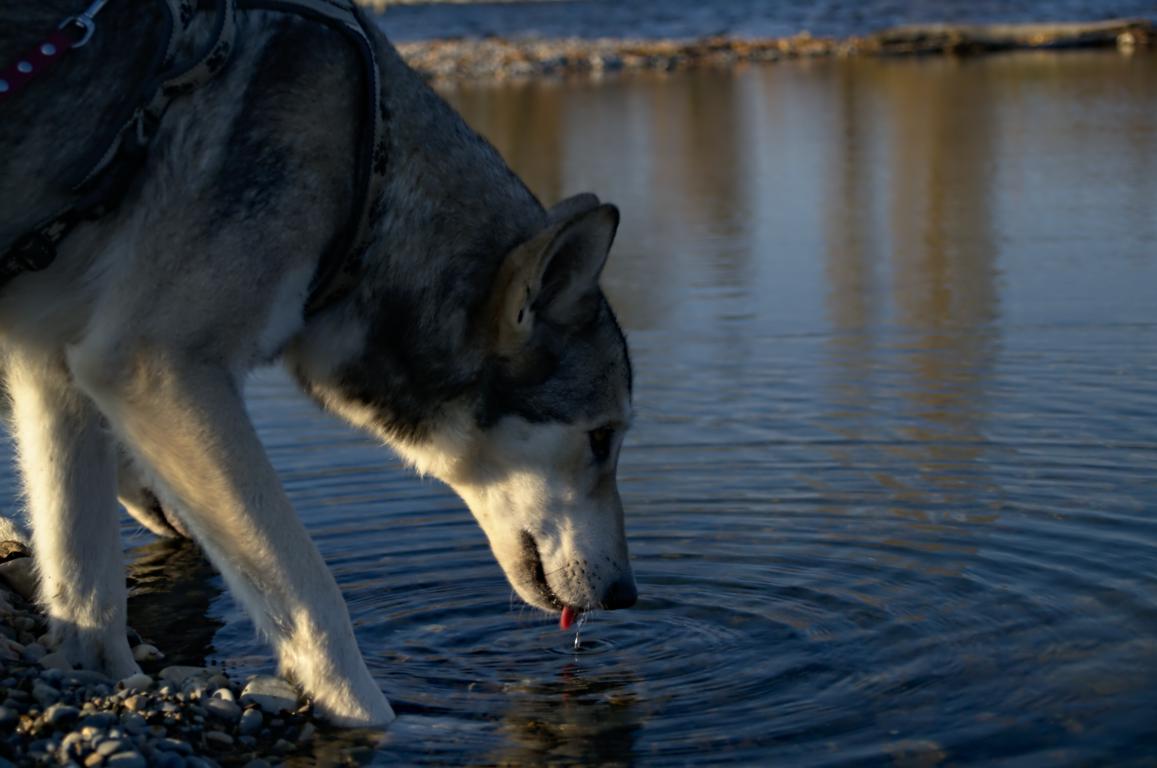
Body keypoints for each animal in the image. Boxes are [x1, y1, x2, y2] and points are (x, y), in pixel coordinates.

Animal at [0, 0, 636, 726]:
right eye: (601, 438)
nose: (626, 595)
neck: (367, 185)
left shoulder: (53, 366)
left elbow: (87, 592)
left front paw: (107, 682)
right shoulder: (152, 368)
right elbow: (313, 599)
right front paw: (371, 722)